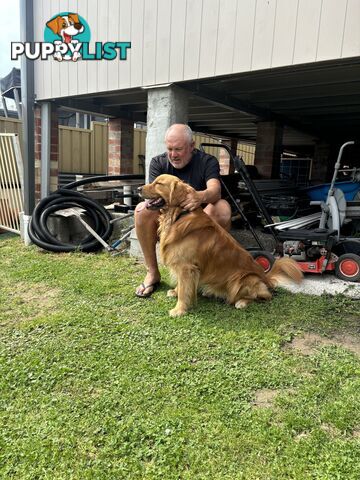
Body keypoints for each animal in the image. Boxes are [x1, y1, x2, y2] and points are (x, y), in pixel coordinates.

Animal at [139, 174, 302, 316]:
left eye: (158, 184)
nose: (139, 188)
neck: (179, 215)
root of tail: (266, 278)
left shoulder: (187, 266)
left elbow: (185, 290)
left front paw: (179, 309)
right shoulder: (185, 266)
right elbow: (183, 285)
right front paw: (176, 291)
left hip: (244, 279)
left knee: (264, 296)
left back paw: (241, 302)